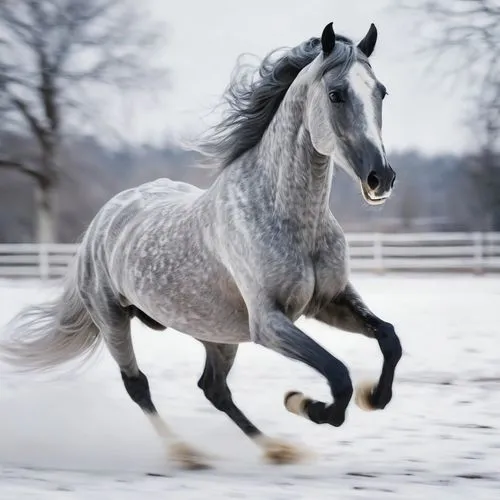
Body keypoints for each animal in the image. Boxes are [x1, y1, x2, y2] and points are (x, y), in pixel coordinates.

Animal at [0, 22, 402, 468]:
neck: (290, 218)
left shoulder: (330, 301)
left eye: (381, 91)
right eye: (336, 94)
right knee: (138, 385)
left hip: (216, 334)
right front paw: (302, 403)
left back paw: (276, 449)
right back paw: (187, 453)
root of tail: (103, 221)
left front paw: (372, 397)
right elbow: (338, 375)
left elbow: (389, 339)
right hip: (112, 318)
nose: (380, 178)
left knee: (214, 389)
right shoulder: (269, 323)